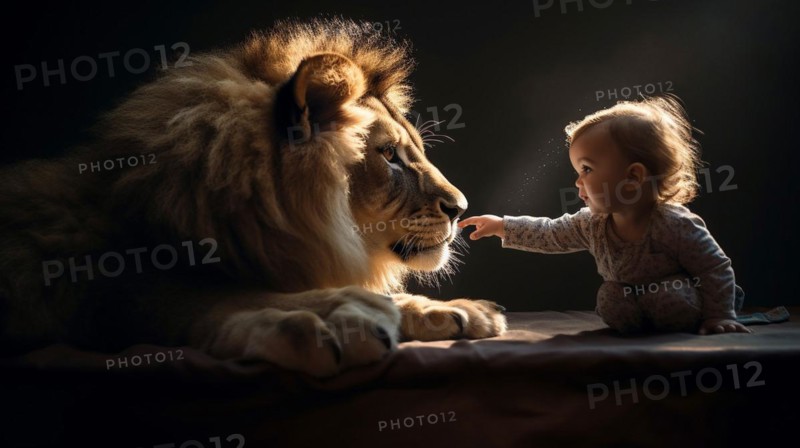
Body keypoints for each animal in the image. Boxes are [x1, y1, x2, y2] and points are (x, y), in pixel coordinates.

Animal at [0, 18, 507, 377]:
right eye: (388, 156)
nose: (461, 209)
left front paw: (461, 311)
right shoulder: (107, 292)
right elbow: (220, 300)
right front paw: (328, 323)